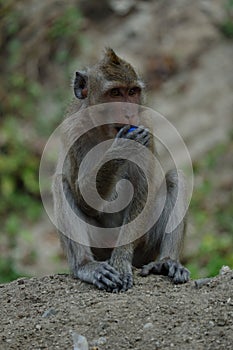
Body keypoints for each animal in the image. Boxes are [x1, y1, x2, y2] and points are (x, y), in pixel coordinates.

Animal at [52, 47, 189, 292]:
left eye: (132, 92)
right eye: (115, 93)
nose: (129, 113)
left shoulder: (146, 124)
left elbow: (144, 188)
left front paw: (121, 260)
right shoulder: (72, 130)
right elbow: (85, 200)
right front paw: (121, 147)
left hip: (145, 245)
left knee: (176, 178)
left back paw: (167, 262)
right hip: (100, 244)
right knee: (60, 183)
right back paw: (86, 266)